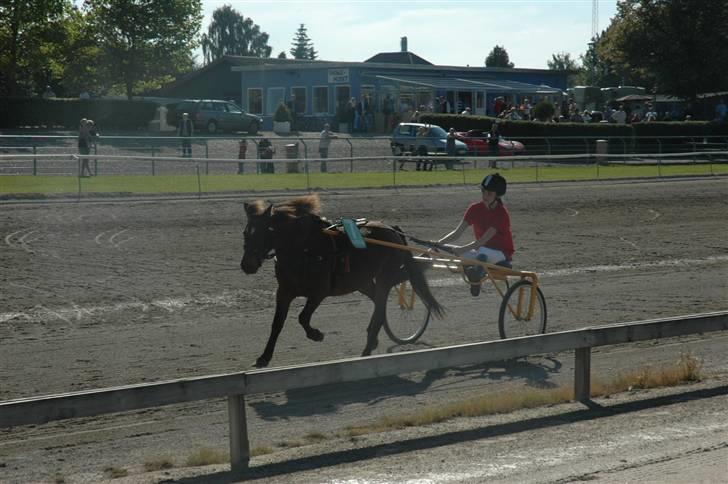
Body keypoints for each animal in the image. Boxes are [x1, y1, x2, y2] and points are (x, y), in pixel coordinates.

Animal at [240, 193, 444, 366]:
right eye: (245, 233)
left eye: (264, 231)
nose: (247, 265)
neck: (304, 249)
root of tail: (392, 229)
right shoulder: (284, 291)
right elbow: (277, 324)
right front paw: (264, 357)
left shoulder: (319, 291)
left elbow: (303, 317)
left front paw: (316, 334)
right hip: (363, 281)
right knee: (380, 301)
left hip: (384, 276)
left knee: (390, 294)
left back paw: (366, 351)